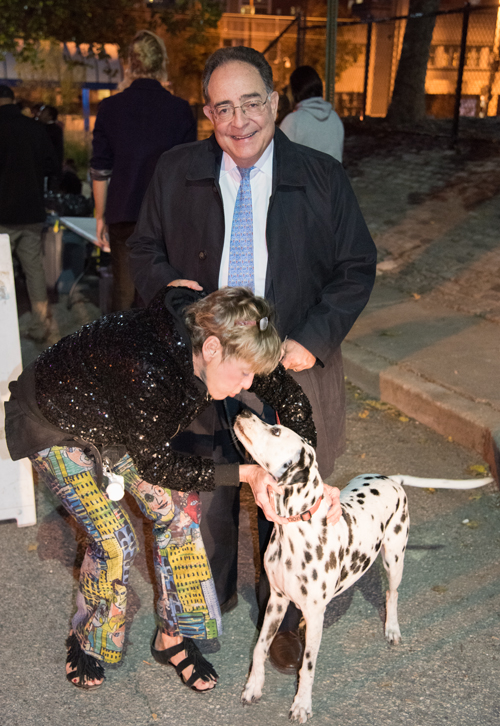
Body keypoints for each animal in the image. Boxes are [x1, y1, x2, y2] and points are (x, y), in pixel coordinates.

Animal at [234, 410, 492, 724]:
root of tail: (390, 478)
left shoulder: (309, 614)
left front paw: (302, 704)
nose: (244, 411)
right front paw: (253, 686)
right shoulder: (276, 601)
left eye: (277, 432)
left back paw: (392, 628)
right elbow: (259, 648)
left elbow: (307, 667)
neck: (295, 530)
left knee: (392, 594)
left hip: (394, 560)